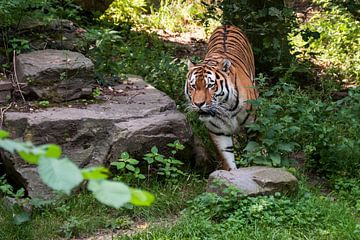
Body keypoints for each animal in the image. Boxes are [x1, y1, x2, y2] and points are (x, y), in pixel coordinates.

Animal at [184, 24, 258, 171]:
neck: (227, 108)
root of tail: (226, 25)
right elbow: (227, 159)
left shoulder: (254, 124)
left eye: (210, 85)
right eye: (193, 86)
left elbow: (255, 151)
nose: (199, 104)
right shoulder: (218, 132)